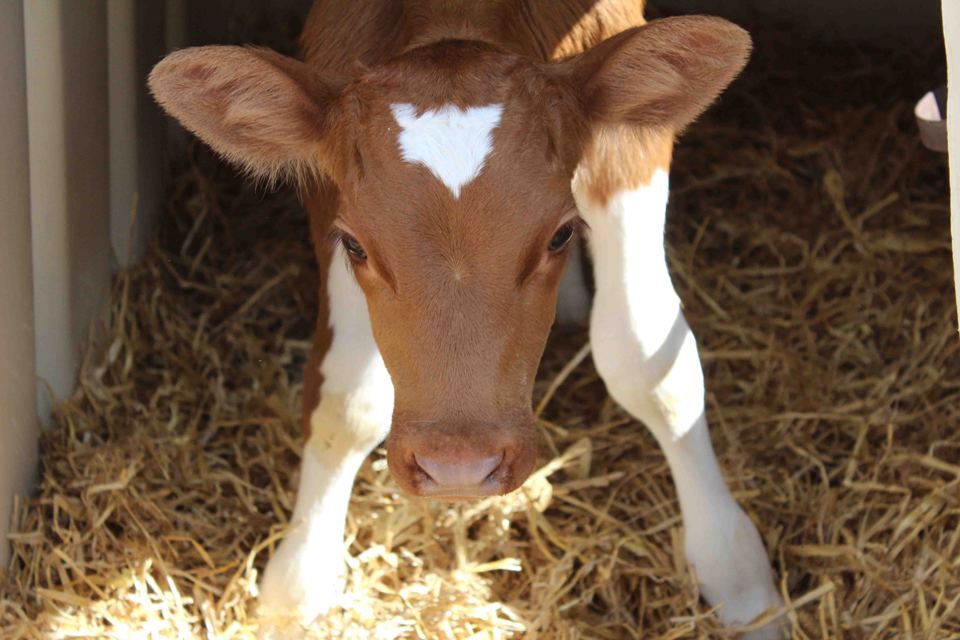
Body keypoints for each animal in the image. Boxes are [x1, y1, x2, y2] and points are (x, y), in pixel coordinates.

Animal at [148, 1, 784, 636]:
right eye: (355, 245)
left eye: (560, 234)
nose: (459, 468)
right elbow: (346, 401)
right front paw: (299, 581)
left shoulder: (628, 151)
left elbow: (650, 363)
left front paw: (738, 576)